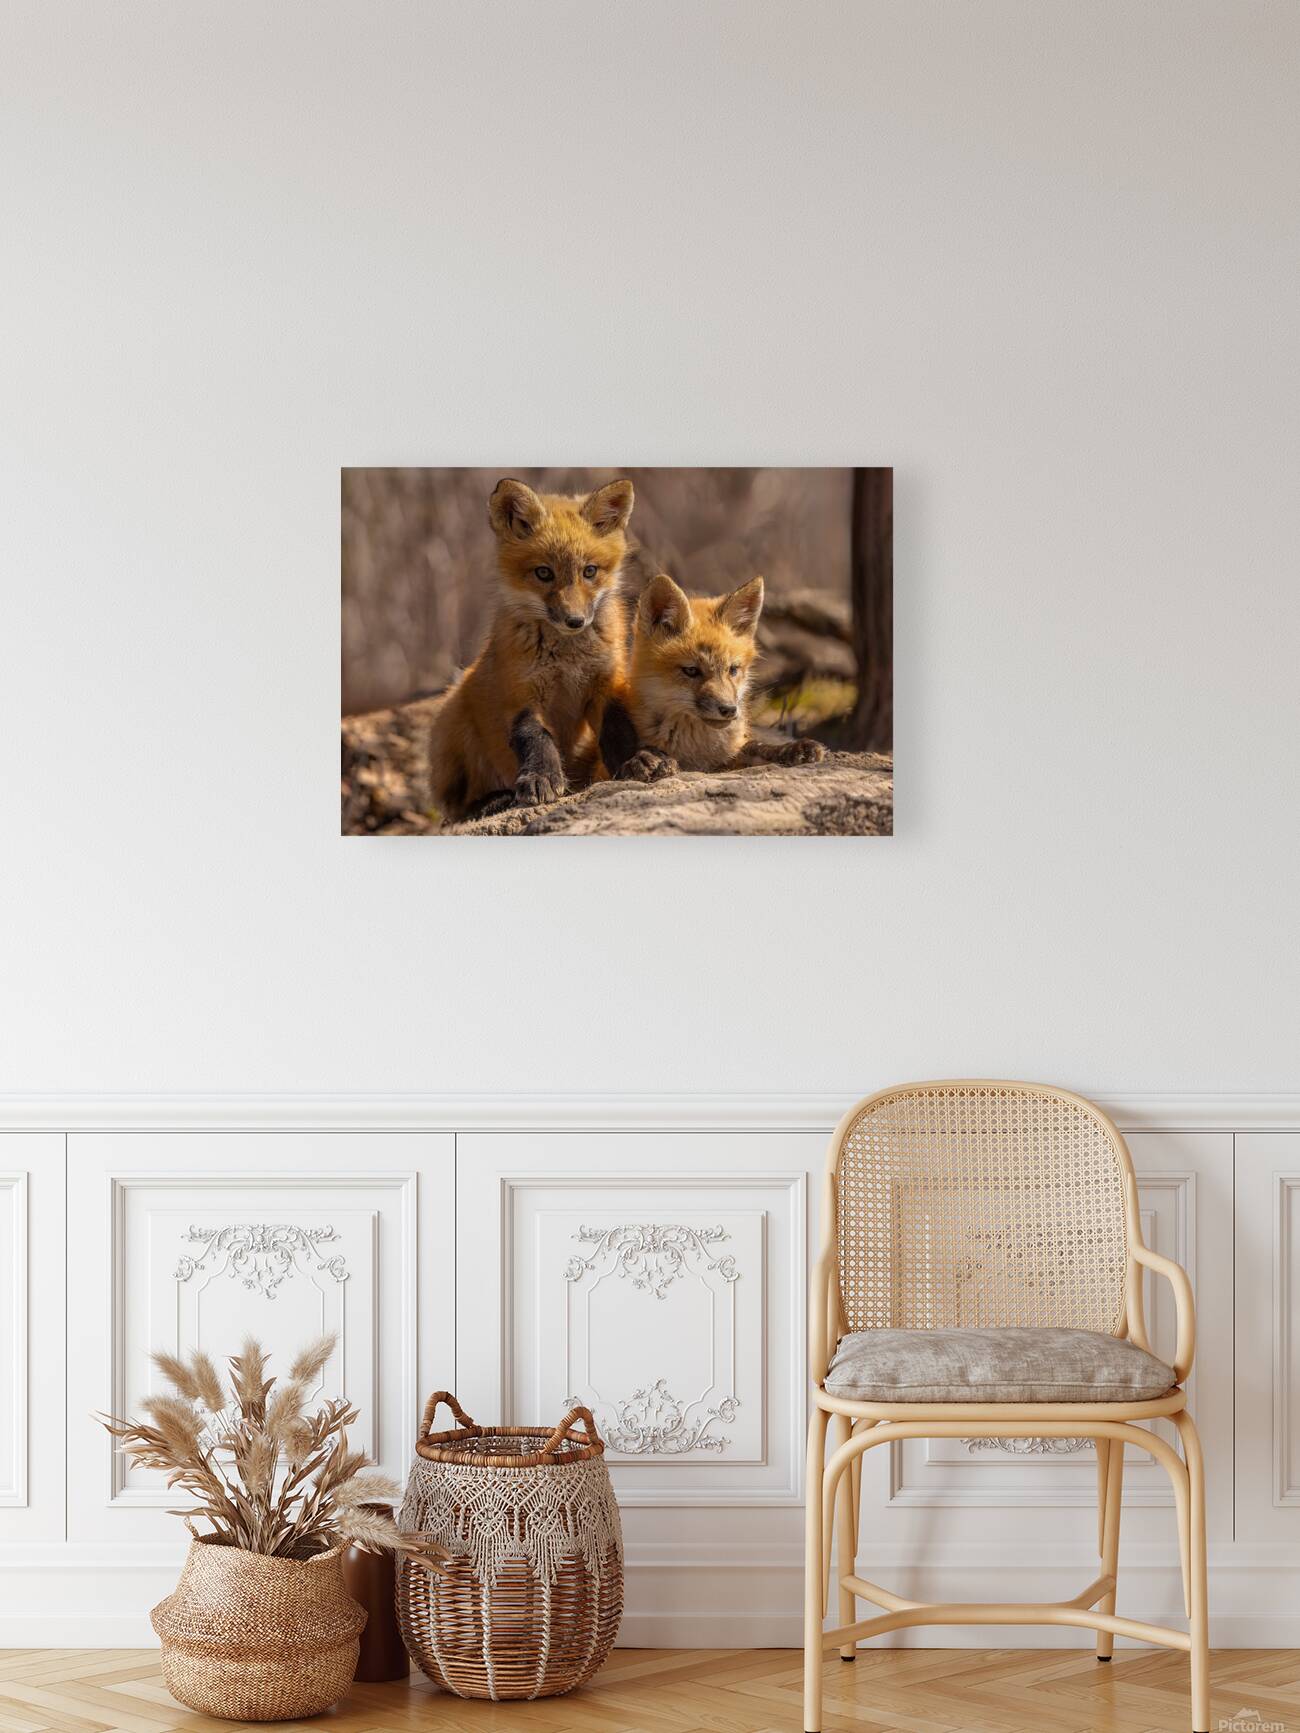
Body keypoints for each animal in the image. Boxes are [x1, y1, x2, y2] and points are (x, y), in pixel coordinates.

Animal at [428, 476, 635, 822]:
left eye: (589, 571)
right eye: (544, 573)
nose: (575, 620)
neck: (568, 659)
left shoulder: (606, 684)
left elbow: (618, 729)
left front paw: (640, 760)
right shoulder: (521, 694)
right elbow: (537, 738)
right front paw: (542, 778)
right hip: (451, 720)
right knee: (455, 810)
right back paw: (492, 801)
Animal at [601, 571, 827, 781]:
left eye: (733, 669)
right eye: (691, 670)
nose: (729, 709)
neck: (696, 750)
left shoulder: (729, 757)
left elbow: (755, 746)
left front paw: (791, 749)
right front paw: (644, 760)